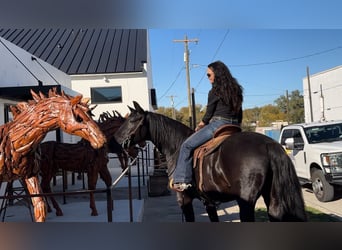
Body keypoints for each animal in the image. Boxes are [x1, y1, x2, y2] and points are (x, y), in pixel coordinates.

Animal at [115, 100, 308, 222]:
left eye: (132, 120)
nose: (115, 139)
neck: (176, 146)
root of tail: (268, 144)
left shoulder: (184, 199)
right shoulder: (209, 202)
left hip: (246, 202)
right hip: (273, 200)